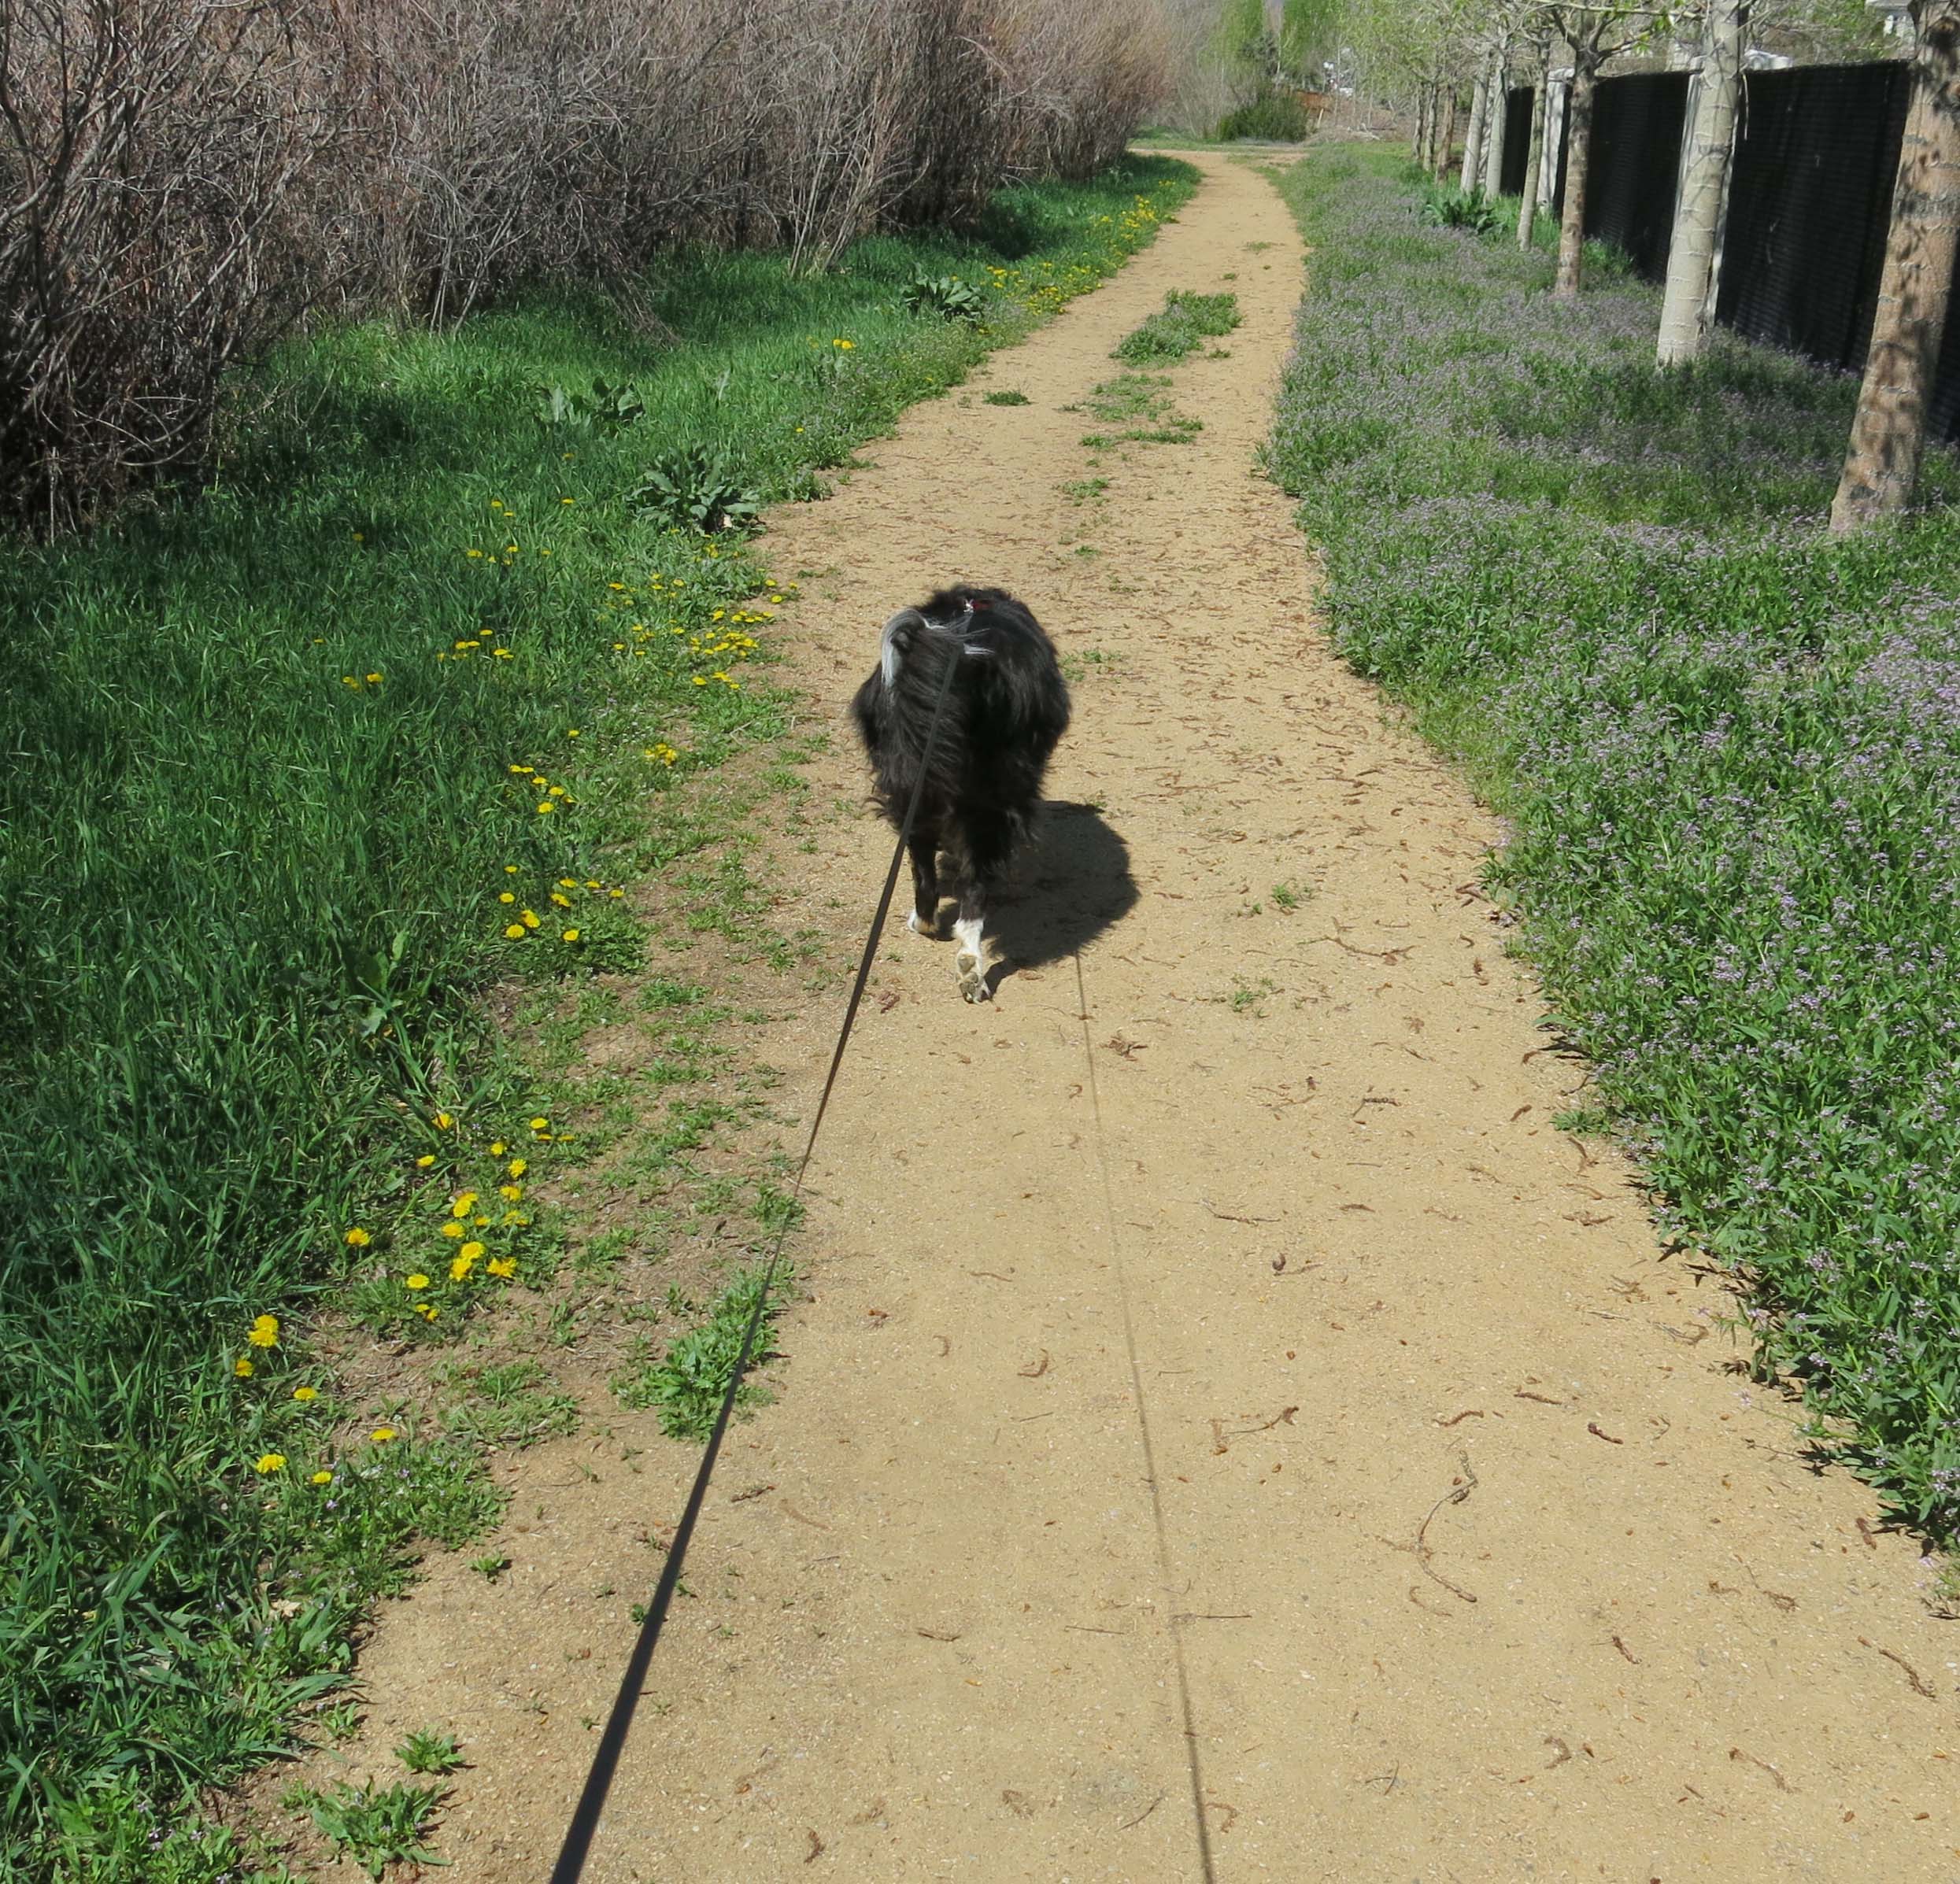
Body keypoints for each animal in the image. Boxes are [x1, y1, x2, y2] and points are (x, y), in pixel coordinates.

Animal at [849, 585, 1070, 1002]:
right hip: (982, 796)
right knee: (971, 890)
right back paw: (968, 963)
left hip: (918, 787)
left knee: (927, 871)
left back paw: (935, 932)